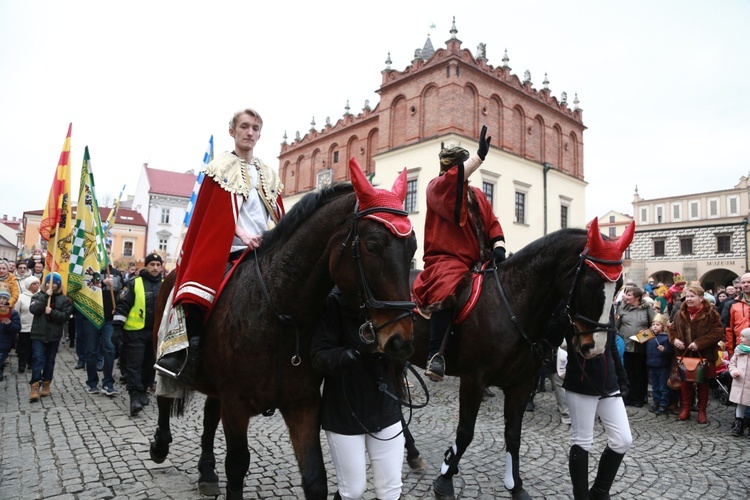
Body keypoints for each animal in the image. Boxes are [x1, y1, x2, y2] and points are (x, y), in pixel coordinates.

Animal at [146, 162, 418, 498]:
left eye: (413, 247)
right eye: (372, 245)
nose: (400, 343)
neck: (280, 313)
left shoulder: (303, 404)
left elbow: (315, 477)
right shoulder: (236, 404)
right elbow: (237, 466)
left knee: (209, 416)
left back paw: (207, 470)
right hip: (164, 346)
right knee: (164, 394)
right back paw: (160, 445)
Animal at [412, 220, 636, 500]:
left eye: (619, 285)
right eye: (590, 283)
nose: (594, 346)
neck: (510, 303)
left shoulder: (521, 383)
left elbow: (513, 436)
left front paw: (515, 486)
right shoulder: (473, 380)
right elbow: (465, 432)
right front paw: (444, 479)